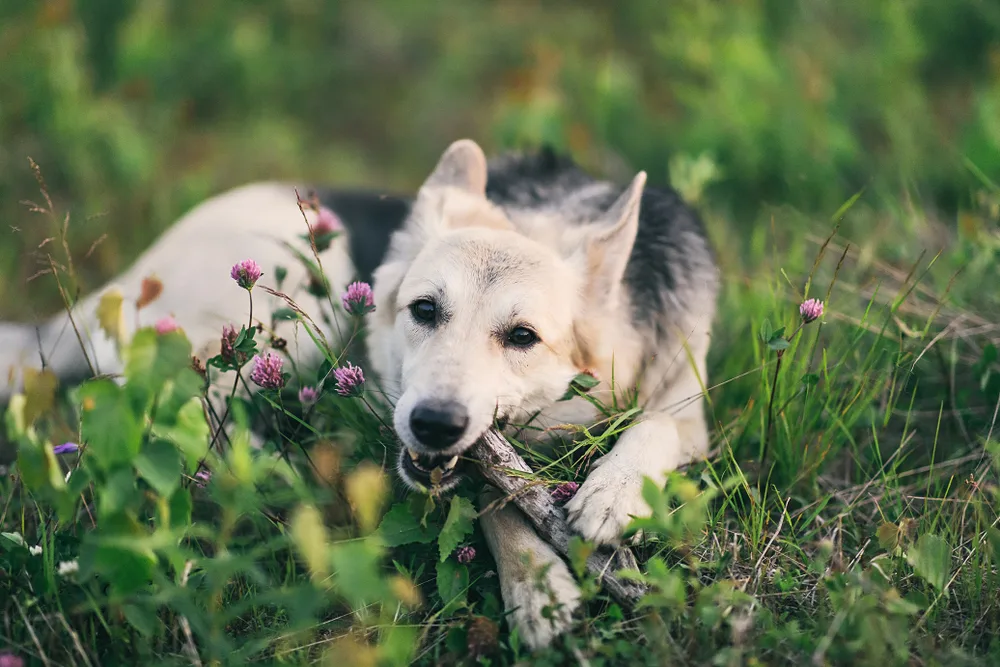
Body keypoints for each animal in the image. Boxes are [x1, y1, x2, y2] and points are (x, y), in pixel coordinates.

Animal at [0, 140, 720, 648]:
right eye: (425, 309)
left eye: (522, 336)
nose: (434, 424)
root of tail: (122, 278)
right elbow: (496, 500)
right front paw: (535, 583)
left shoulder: (688, 410)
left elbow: (656, 424)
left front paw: (615, 490)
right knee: (181, 407)